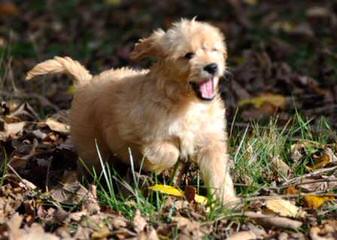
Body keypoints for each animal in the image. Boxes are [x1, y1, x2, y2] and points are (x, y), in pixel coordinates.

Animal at [26, 18, 235, 202]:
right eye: (188, 55)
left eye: (215, 50)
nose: (212, 66)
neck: (188, 104)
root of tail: (86, 82)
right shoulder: (139, 134)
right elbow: (168, 152)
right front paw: (158, 166)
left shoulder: (211, 143)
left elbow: (219, 175)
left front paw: (228, 204)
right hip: (91, 145)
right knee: (90, 163)